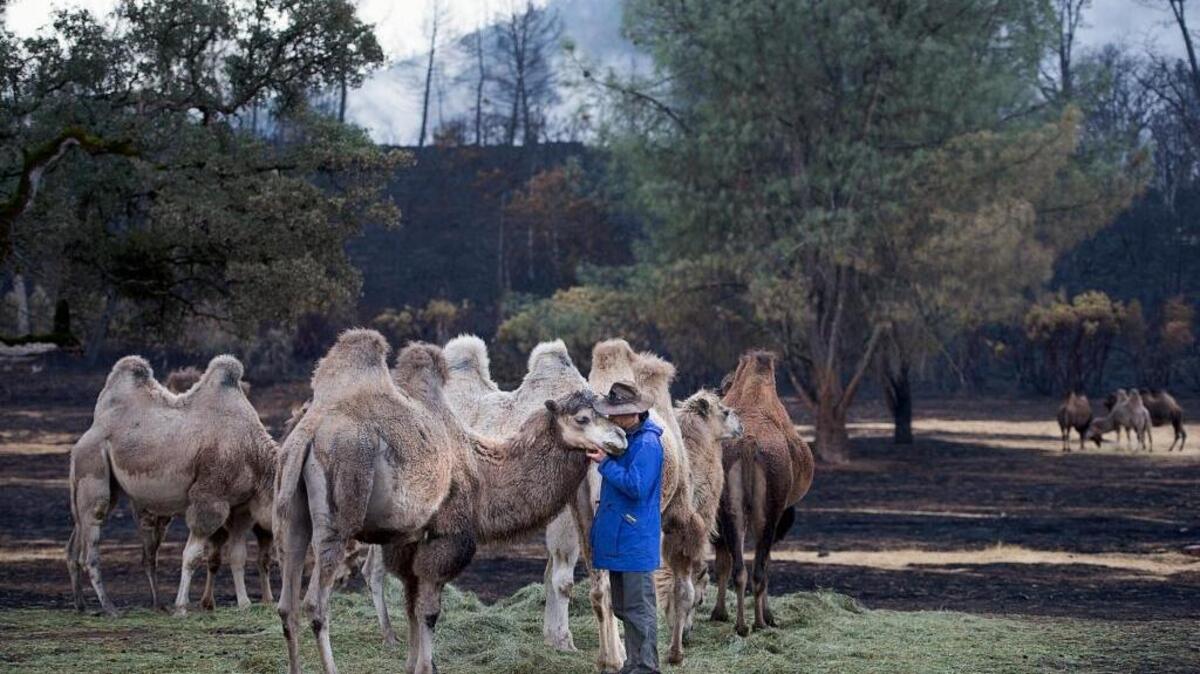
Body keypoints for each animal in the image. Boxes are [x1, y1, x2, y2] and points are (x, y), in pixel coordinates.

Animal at [67, 355, 277, 617]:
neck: (254, 454)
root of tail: (87, 435)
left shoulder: (241, 506)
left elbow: (238, 555)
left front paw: (245, 604)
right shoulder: (209, 497)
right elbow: (192, 555)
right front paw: (182, 606)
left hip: (98, 481)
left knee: (77, 538)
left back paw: (82, 605)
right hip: (92, 461)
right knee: (92, 534)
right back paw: (110, 607)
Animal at [273, 332, 627, 674]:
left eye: (604, 412)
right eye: (582, 418)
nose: (621, 438)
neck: (481, 470)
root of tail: (306, 434)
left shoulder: (408, 541)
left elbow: (412, 606)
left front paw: (413, 664)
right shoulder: (447, 536)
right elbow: (429, 612)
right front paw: (426, 665)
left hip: (292, 517)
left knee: (287, 605)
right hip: (339, 513)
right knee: (315, 604)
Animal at [712, 350, 815, 636]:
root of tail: (748, 444)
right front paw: (769, 616)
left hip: (732, 508)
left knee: (738, 568)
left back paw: (741, 624)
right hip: (769, 509)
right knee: (758, 567)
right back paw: (758, 621)